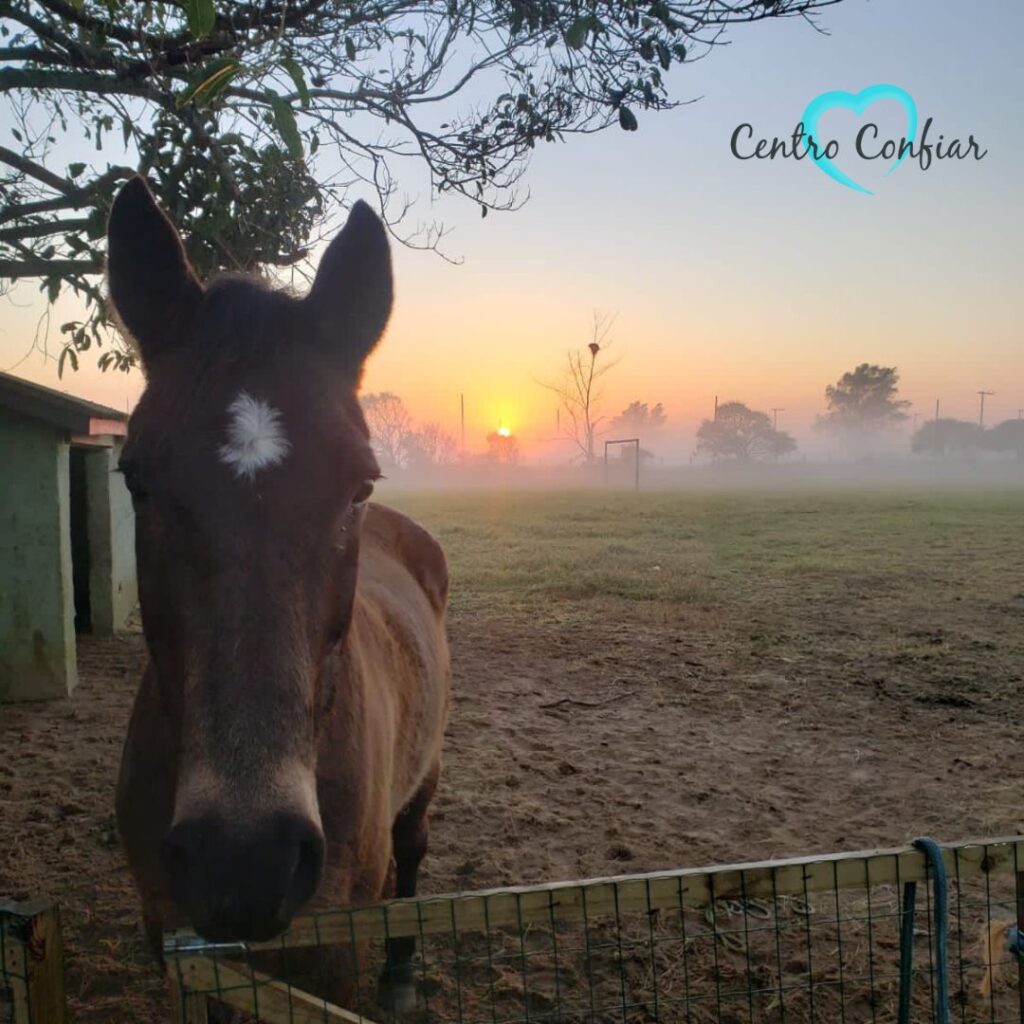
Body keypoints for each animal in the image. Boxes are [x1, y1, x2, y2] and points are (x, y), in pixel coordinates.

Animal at [104, 178, 452, 1007]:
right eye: (135, 479)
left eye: (360, 485)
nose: (244, 861)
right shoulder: (177, 940)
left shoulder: (333, 947)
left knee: (413, 854)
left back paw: (401, 971)